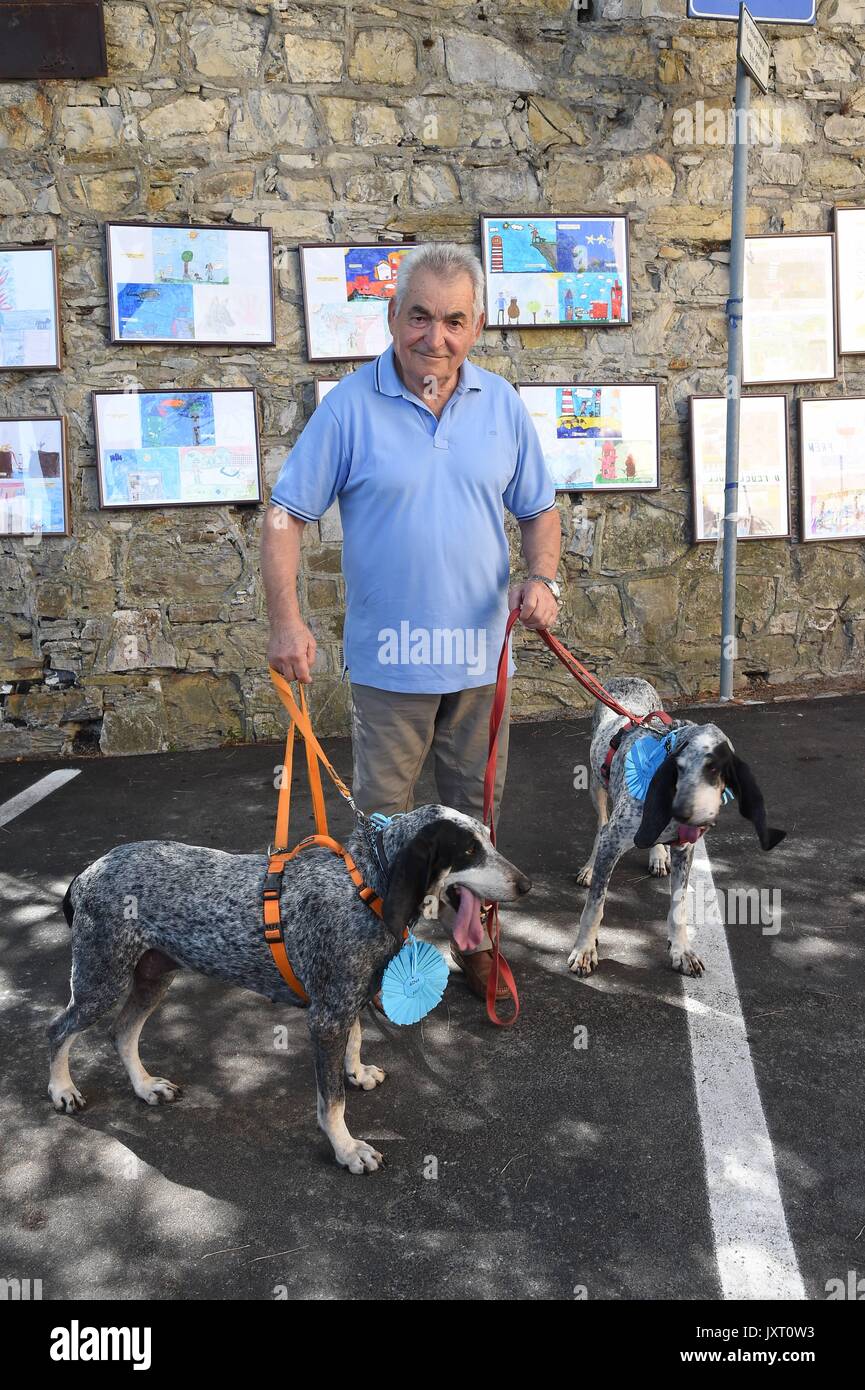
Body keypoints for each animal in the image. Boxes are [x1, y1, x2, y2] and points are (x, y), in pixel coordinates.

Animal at [52, 806, 536, 1173]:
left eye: (489, 839)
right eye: (469, 850)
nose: (526, 884)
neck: (366, 886)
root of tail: (87, 871)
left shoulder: (345, 1002)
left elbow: (355, 1042)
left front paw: (356, 1072)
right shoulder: (327, 1017)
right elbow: (333, 1102)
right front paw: (346, 1149)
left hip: (153, 975)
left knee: (122, 1033)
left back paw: (144, 1085)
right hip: (100, 980)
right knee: (59, 1030)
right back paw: (61, 1090)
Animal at [572, 681, 789, 984]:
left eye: (716, 771)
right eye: (680, 768)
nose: (682, 812)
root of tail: (628, 677)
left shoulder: (685, 850)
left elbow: (679, 904)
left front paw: (681, 950)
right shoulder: (612, 841)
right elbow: (594, 906)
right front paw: (584, 949)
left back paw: (657, 856)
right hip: (596, 785)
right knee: (600, 824)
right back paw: (591, 868)